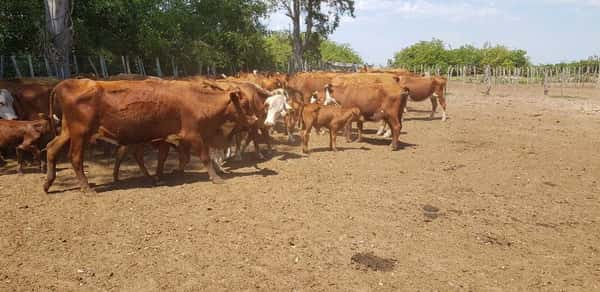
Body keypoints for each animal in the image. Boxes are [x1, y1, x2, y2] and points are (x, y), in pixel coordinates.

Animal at [41, 78, 258, 194]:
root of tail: (66, 83)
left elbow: (174, 158)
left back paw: (48, 182)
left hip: (67, 131)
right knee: (76, 158)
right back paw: (86, 188)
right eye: (244, 104)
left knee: (51, 148)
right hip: (80, 134)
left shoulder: (170, 138)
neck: (197, 100)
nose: (256, 119)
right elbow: (204, 157)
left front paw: (167, 175)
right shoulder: (193, 134)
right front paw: (216, 178)